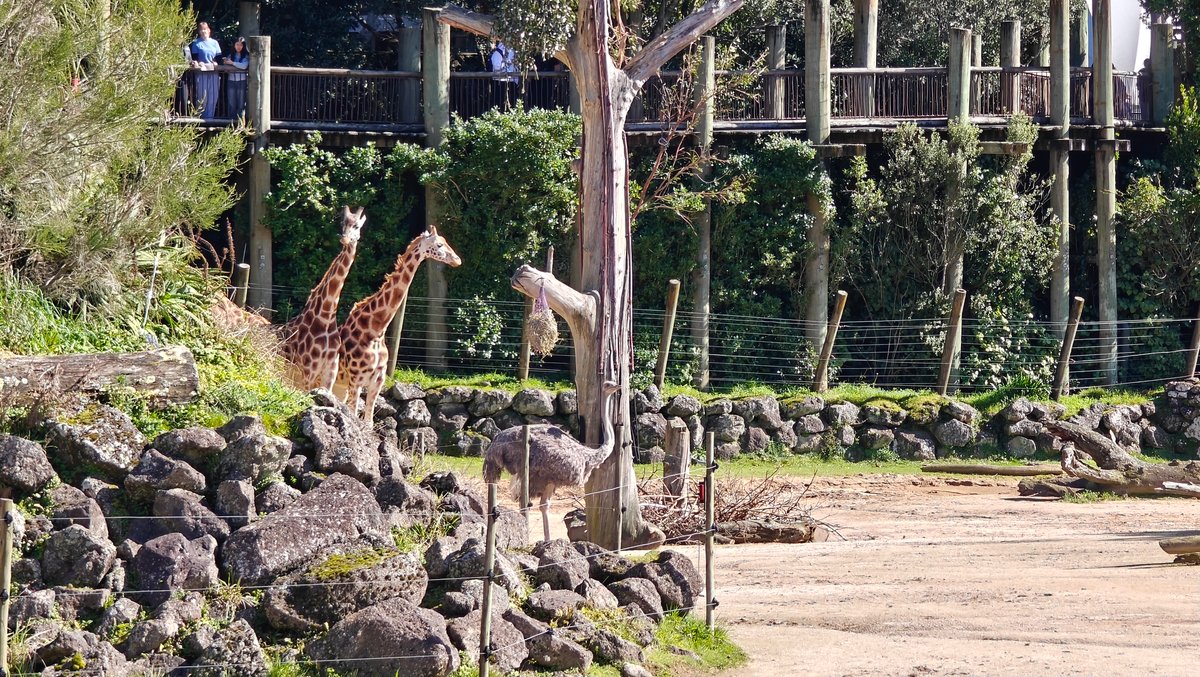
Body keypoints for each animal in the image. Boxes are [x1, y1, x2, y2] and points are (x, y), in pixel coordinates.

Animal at [277, 206, 366, 391]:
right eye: (342, 223)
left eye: (356, 226)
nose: (344, 239)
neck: (326, 315)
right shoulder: (308, 369)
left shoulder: (330, 371)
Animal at [336, 225, 461, 424]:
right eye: (439, 244)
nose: (457, 260)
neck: (376, 330)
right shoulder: (356, 380)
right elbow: (356, 419)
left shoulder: (377, 381)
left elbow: (368, 423)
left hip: (339, 385)